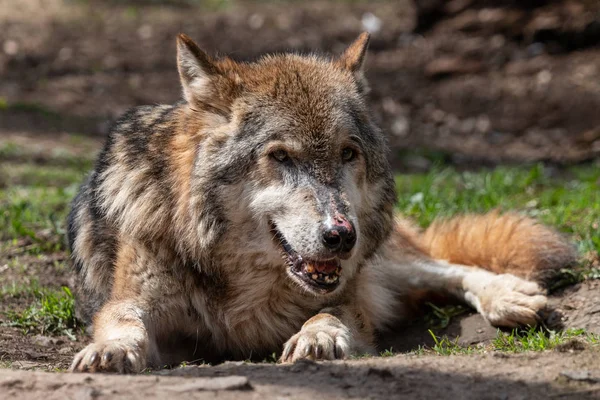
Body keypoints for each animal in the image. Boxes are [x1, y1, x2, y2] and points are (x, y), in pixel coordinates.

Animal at [67, 32, 576, 374]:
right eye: (280, 156)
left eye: (348, 153)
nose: (341, 236)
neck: (245, 285)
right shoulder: (137, 302)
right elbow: (124, 319)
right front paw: (111, 350)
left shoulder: (352, 295)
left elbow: (330, 312)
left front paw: (319, 337)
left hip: (383, 259)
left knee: (447, 268)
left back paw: (509, 297)